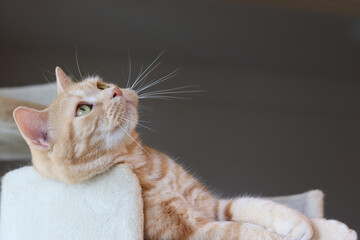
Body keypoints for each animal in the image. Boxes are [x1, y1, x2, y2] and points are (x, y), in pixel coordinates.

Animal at [12, 66, 356, 239]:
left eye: (101, 85)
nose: (116, 91)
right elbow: (248, 230)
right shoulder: (195, 231)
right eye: (83, 109)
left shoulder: (214, 205)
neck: (144, 164)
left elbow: (258, 206)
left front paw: (320, 226)